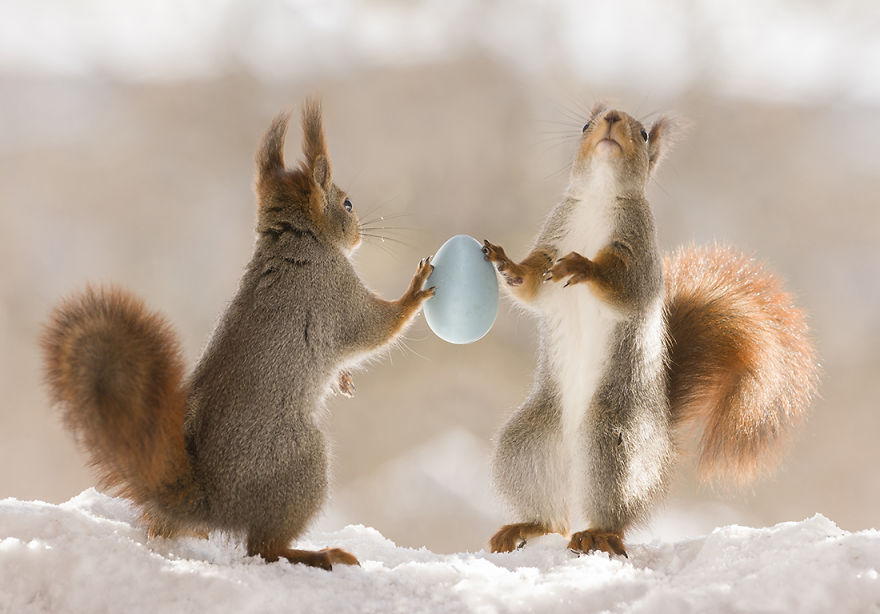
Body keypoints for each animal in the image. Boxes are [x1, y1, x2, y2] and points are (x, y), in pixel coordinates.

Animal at [40, 100, 436, 571]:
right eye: (348, 203)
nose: (360, 235)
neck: (297, 243)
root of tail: (212, 503)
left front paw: (343, 380)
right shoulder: (336, 293)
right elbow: (377, 327)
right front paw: (416, 290)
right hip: (302, 462)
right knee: (263, 547)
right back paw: (320, 554)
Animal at [482, 105, 819, 557]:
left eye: (642, 134)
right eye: (585, 126)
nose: (610, 116)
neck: (599, 197)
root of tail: (661, 447)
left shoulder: (639, 254)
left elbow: (625, 290)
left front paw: (583, 266)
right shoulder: (552, 241)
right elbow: (531, 286)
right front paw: (505, 264)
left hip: (614, 441)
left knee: (613, 513)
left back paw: (598, 534)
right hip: (526, 443)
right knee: (554, 518)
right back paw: (526, 525)